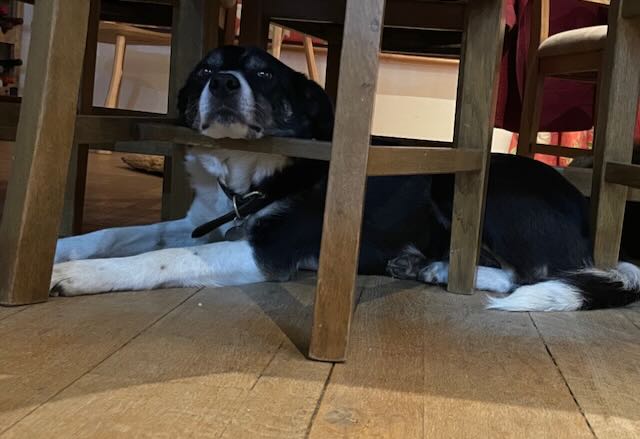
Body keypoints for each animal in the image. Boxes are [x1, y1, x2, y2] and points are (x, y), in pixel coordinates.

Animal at [51, 46, 640, 312]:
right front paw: (60, 246)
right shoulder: (205, 219)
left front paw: (79, 276)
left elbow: (165, 257)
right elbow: (121, 234)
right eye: (202, 71)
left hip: (458, 187)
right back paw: (419, 264)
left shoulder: (268, 250)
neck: (249, 175)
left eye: (263, 72)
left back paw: (438, 269)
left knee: (528, 274)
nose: (222, 83)